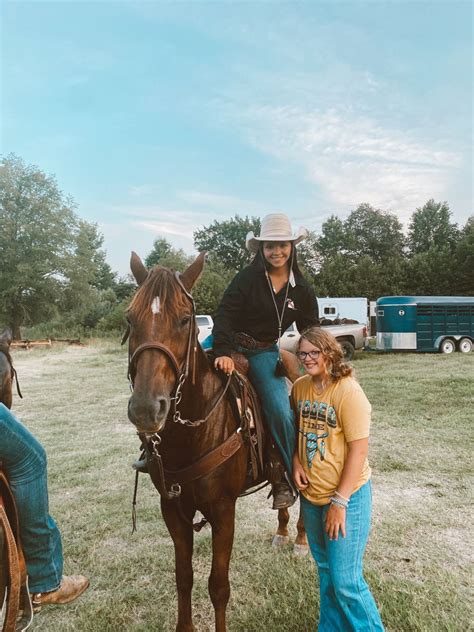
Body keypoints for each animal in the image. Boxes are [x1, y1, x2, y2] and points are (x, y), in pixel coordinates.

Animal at [124, 252, 306, 632]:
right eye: (130, 319)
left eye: (184, 320)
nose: (146, 408)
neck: (194, 430)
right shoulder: (173, 511)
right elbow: (184, 577)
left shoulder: (224, 511)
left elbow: (218, 586)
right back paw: (282, 530)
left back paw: (299, 538)